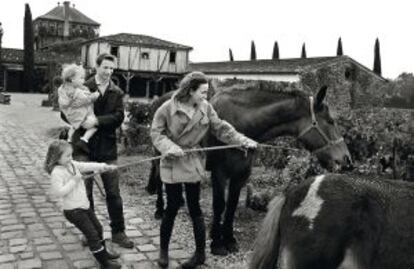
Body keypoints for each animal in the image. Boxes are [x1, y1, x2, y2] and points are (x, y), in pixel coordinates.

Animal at [147, 80, 350, 254]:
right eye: (331, 121)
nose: (347, 160)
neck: (240, 122)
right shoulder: (219, 174)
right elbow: (219, 205)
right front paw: (217, 243)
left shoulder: (241, 174)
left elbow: (232, 205)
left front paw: (229, 239)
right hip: (161, 152)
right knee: (158, 176)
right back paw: (159, 209)